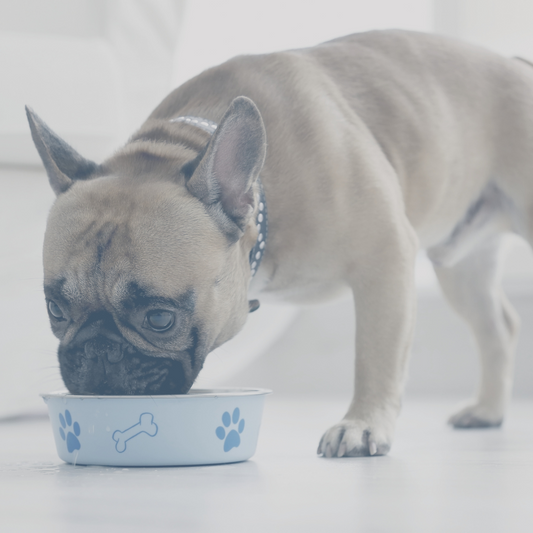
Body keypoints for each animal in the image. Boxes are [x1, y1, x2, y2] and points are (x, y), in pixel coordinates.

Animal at [28, 29, 532, 456]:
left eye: (159, 318)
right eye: (55, 310)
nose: (96, 352)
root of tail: (515, 64)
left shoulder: (385, 258)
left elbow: (376, 355)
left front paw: (362, 424)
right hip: (461, 270)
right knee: (497, 328)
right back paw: (488, 411)